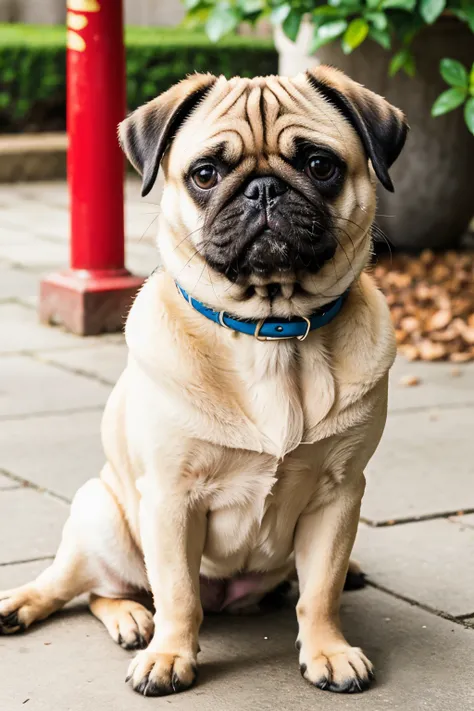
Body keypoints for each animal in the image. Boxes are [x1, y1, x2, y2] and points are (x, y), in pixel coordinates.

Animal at [0, 69, 408, 700]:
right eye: (206, 174)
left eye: (320, 166)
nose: (264, 190)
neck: (273, 332)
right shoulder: (172, 499)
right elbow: (178, 593)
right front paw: (170, 655)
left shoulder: (339, 494)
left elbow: (321, 591)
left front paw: (329, 651)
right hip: (102, 517)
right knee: (87, 586)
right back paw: (98, 615)